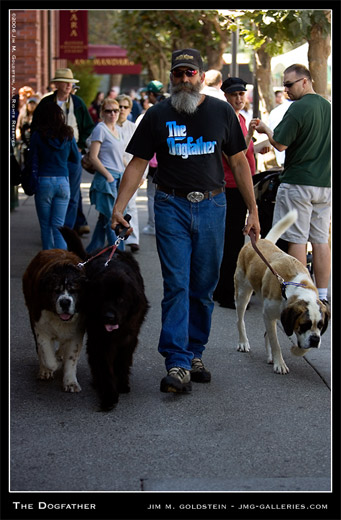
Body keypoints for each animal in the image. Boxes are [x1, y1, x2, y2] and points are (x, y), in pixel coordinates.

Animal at [60, 228, 148, 410]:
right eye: (102, 298)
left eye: (121, 300)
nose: (109, 316)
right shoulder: (99, 338)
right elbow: (104, 366)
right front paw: (108, 396)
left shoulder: (129, 337)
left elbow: (122, 362)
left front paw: (121, 384)